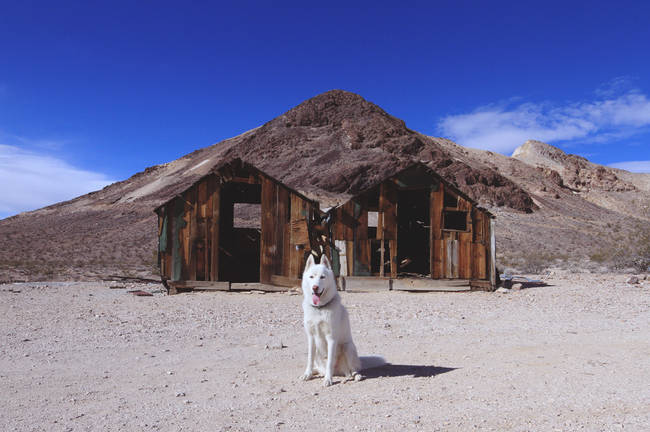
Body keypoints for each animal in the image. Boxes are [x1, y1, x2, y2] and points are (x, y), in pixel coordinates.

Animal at [302, 253, 382, 384]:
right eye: (311, 277)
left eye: (322, 277)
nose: (315, 287)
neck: (320, 309)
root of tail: (338, 372)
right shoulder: (311, 337)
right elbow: (309, 359)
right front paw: (307, 374)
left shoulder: (331, 338)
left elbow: (329, 361)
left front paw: (328, 380)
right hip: (320, 355)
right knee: (323, 369)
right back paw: (318, 372)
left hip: (348, 347)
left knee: (353, 370)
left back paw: (355, 376)